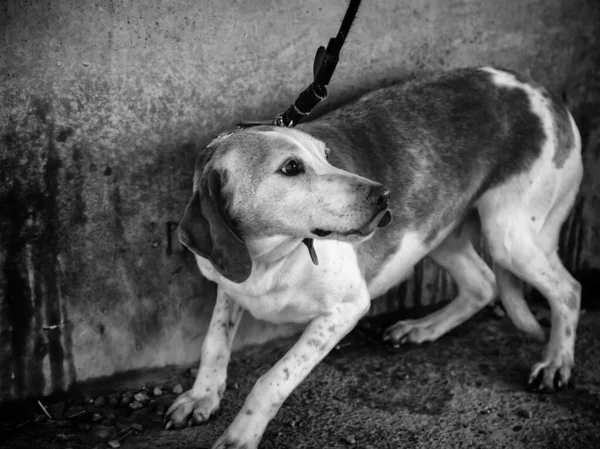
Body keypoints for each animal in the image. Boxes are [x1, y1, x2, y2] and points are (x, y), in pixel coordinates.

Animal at [163, 67, 580, 448]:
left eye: (326, 155)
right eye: (291, 168)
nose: (384, 196)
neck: (270, 257)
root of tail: (540, 91)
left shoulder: (345, 309)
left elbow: (272, 379)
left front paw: (241, 434)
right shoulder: (229, 287)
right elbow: (214, 344)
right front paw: (202, 396)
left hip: (506, 235)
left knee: (568, 290)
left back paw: (556, 362)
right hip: (438, 232)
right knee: (483, 284)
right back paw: (424, 327)